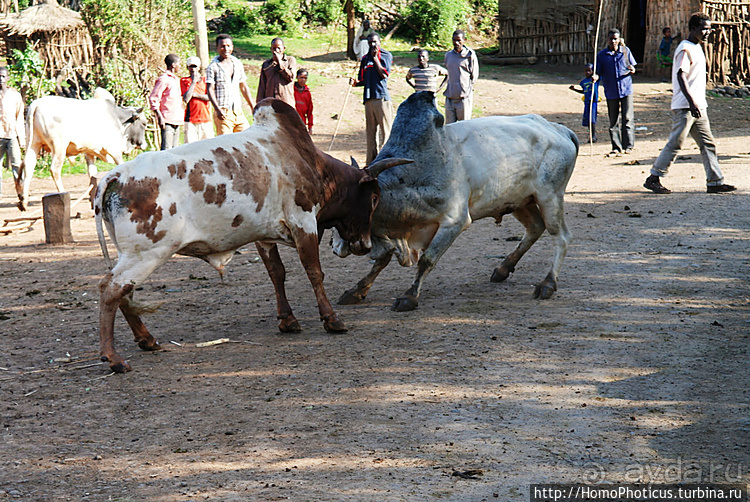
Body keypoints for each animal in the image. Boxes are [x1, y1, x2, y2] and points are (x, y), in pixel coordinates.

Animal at [95, 99, 412, 372]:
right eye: (374, 198)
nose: (365, 244)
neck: (310, 163)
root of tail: (115, 176)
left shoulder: (265, 235)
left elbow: (277, 273)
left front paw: (288, 320)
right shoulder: (304, 223)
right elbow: (314, 272)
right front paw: (332, 319)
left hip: (134, 255)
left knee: (124, 293)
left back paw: (147, 340)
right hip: (146, 254)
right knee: (111, 289)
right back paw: (114, 358)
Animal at [334, 90, 580, 310]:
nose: (336, 247)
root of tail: (560, 129)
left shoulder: (454, 221)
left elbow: (426, 260)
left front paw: (409, 297)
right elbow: (382, 260)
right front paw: (356, 291)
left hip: (550, 197)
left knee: (562, 237)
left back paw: (548, 283)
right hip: (519, 201)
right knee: (535, 228)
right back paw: (503, 269)